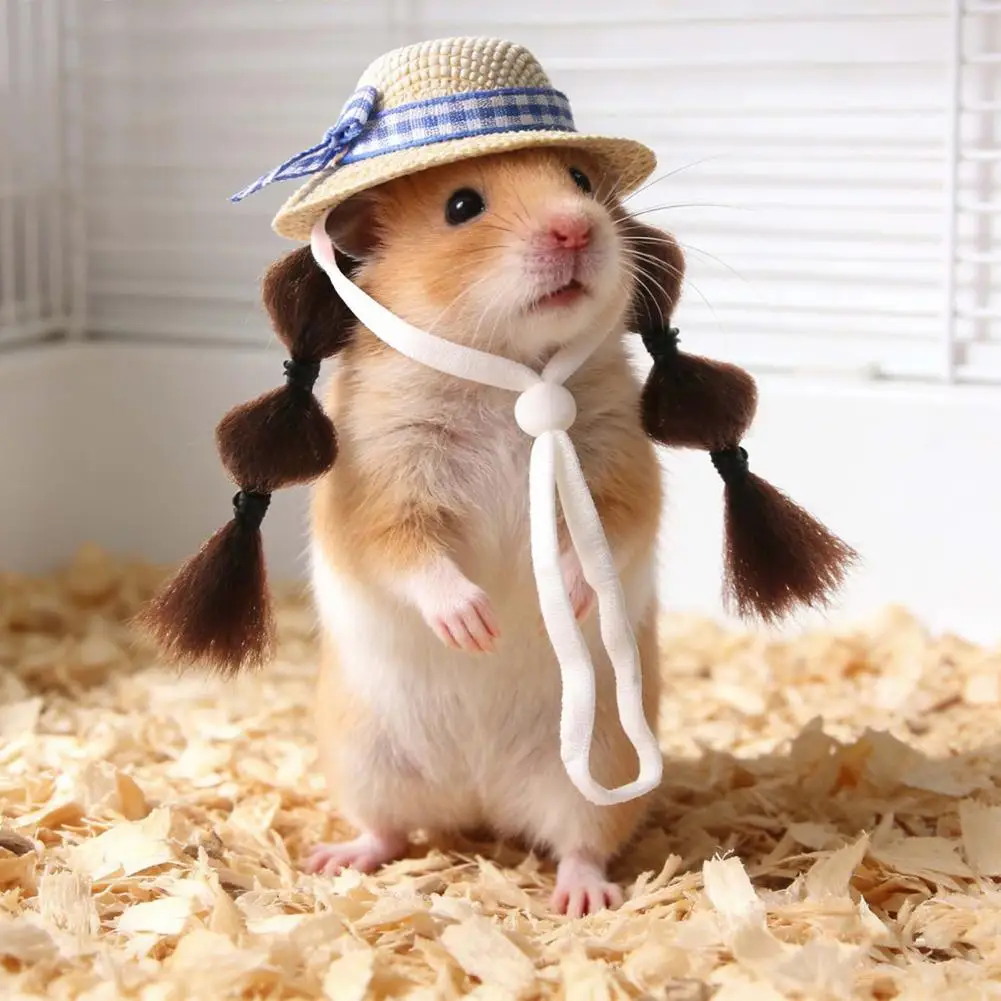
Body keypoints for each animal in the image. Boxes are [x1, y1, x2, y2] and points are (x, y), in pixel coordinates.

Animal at [305, 147, 664, 917]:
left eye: (580, 181)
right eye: (462, 206)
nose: (574, 227)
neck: (510, 377)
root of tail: (479, 800)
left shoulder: (620, 467)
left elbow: (603, 543)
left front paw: (562, 598)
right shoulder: (379, 485)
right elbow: (408, 554)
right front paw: (477, 627)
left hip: (599, 764)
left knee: (581, 842)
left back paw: (581, 899)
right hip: (362, 758)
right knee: (386, 829)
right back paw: (333, 859)